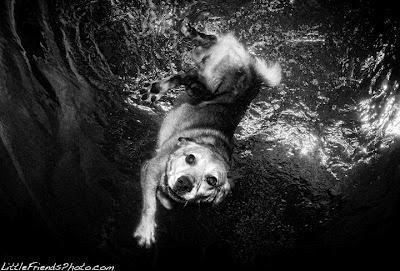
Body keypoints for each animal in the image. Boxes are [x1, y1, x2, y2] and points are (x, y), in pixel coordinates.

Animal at [134, 22, 282, 249]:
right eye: (190, 158)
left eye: (212, 180)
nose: (184, 183)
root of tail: (252, 69)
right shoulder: (151, 168)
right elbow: (150, 205)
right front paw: (147, 229)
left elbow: (164, 200)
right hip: (208, 85)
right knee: (185, 77)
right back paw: (156, 89)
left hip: (204, 60)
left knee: (207, 45)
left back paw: (191, 32)